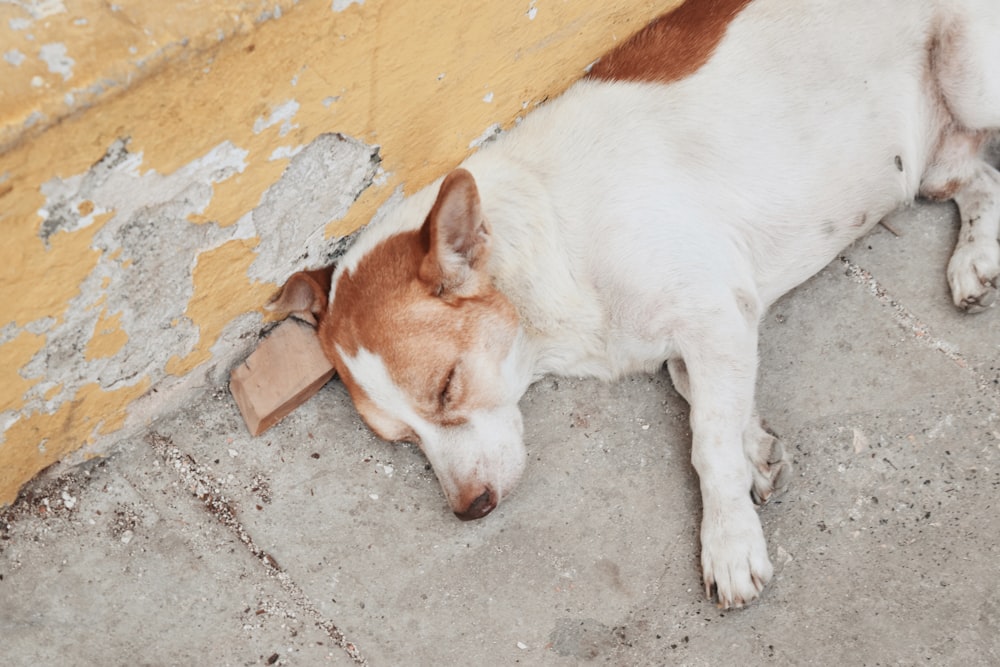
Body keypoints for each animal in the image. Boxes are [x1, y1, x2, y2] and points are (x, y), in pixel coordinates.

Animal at [268, 0, 1000, 612]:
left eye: (447, 389)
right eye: (400, 440)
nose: (471, 509)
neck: (551, 235)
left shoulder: (712, 314)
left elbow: (707, 442)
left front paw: (730, 540)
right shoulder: (706, 330)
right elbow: (705, 399)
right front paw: (755, 447)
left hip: (971, 76)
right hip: (933, 172)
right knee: (979, 175)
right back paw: (974, 258)